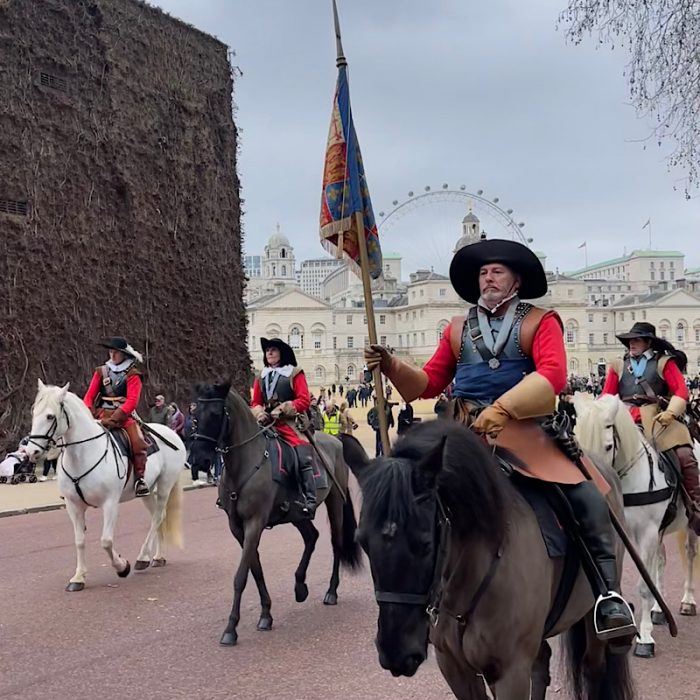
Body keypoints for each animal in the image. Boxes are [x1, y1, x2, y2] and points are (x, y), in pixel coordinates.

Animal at [26, 380, 187, 588]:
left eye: (50, 416)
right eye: (33, 412)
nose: (31, 452)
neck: (83, 454)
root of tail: (171, 433)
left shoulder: (110, 504)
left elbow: (106, 541)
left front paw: (122, 567)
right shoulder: (73, 506)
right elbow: (79, 541)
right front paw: (78, 577)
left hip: (165, 485)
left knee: (158, 516)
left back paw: (142, 557)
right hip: (148, 491)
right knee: (157, 517)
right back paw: (157, 557)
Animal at [187, 382, 360, 644]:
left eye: (216, 414)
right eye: (195, 414)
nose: (198, 460)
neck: (244, 465)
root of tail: (336, 440)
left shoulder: (254, 523)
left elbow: (241, 576)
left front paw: (231, 628)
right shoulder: (238, 528)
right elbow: (255, 569)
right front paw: (266, 614)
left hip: (335, 503)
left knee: (336, 543)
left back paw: (331, 591)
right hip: (298, 514)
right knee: (312, 537)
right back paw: (300, 586)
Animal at [342, 422, 636, 700]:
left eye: (425, 544)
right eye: (362, 542)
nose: (395, 653)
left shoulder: (510, 672)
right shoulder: (454, 667)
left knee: (593, 667)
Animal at [576, 396, 696, 660]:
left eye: (608, 446)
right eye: (576, 442)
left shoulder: (647, 534)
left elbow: (643, 586)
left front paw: (645, 638)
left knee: (690, 554)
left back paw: (688, 600)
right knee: (661, 560)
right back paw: (659, 609)